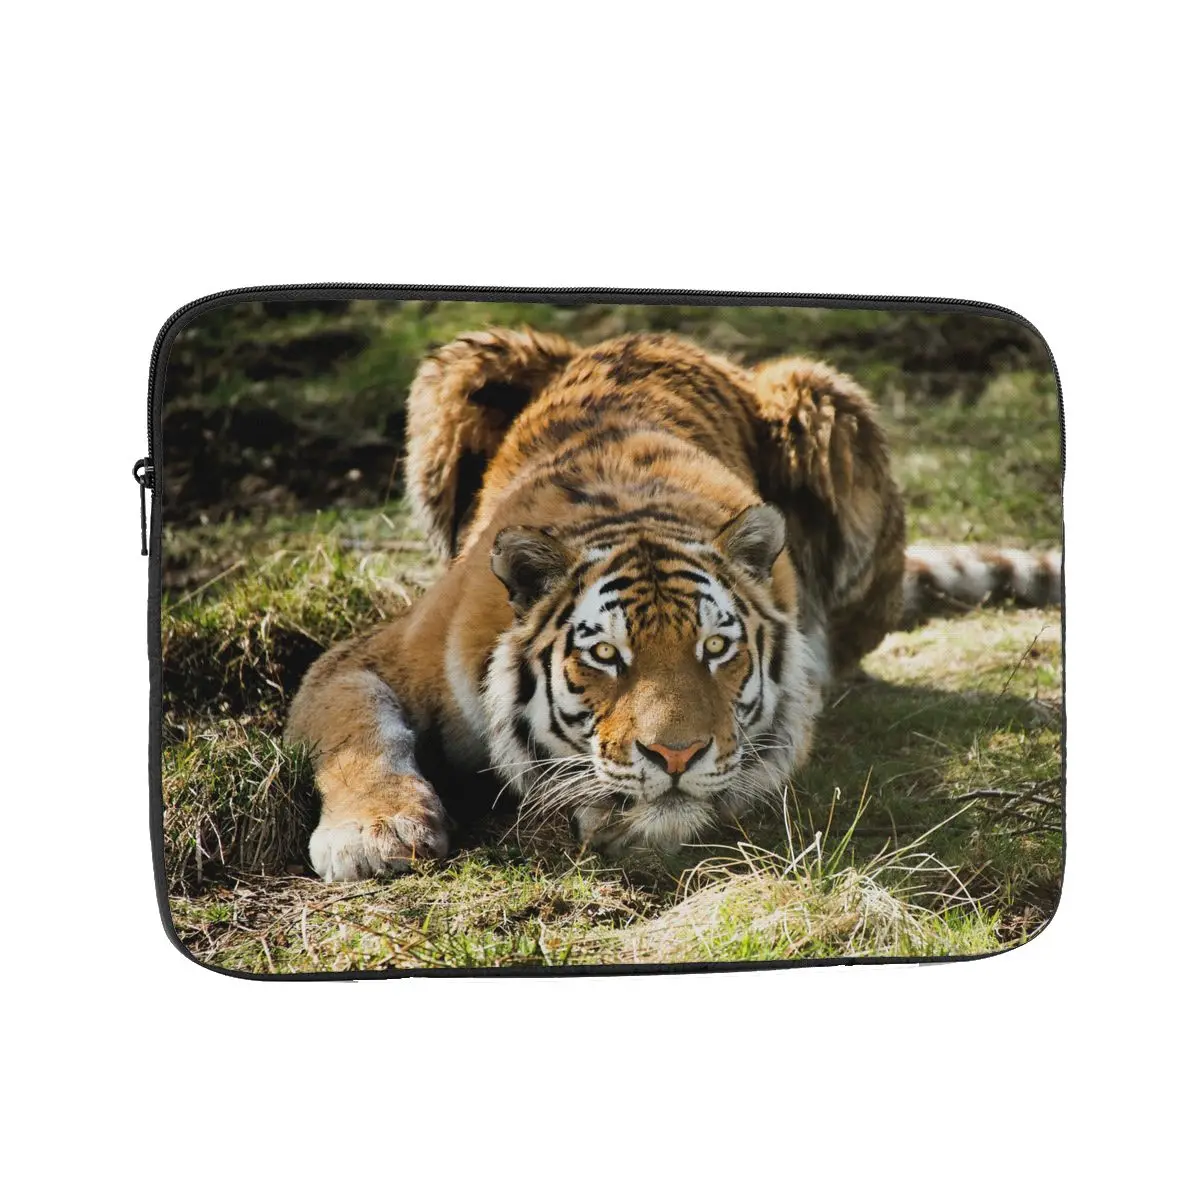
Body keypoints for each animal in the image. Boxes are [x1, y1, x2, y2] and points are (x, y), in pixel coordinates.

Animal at [285, 329, 1061, 882]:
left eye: (716, 649)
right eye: (605, 655)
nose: (677, 755)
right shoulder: (369, 656)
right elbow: (358, 733)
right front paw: (374, 834)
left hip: (823, 400)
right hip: (460, 366)